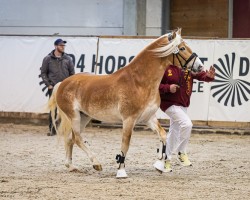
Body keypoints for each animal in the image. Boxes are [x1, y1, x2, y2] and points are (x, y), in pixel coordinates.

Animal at [48, 28, 203, 178]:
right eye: (182, 48)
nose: (200, 66)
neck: (139, 82)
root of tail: (62, 83)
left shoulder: (148, 118)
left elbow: (163, 136)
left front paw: (159, 165)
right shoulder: (129, 120)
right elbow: (125, 144)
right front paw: (121, 172)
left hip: (84, 116)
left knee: (71, 138)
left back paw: (71, 166)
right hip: (74, 116)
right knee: (78, 138)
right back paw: (96, 163)